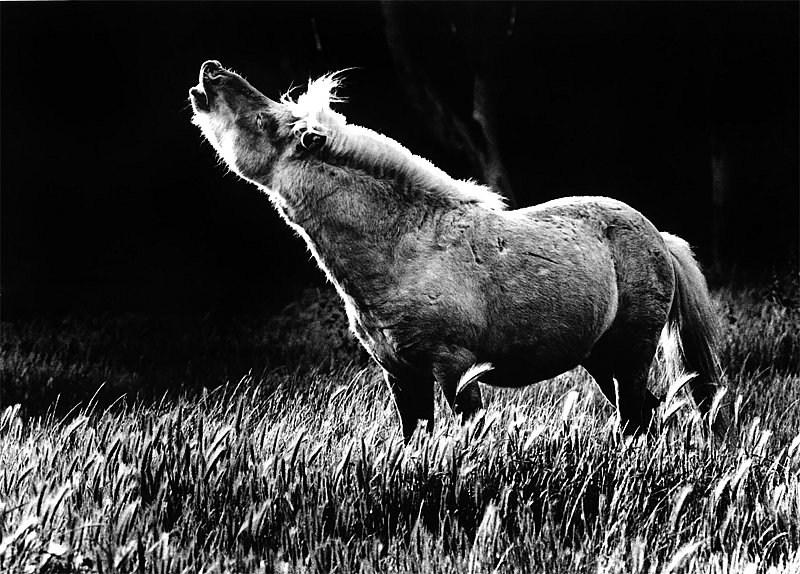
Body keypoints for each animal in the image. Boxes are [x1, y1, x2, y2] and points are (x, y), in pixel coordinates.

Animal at [189, 60, 724, 441]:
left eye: (266, 119)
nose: (210, 71)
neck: (404, 252)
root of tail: (658, 236)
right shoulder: (402, 375)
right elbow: (415, 439)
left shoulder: (455, 370)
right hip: (601, 359)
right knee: (643, 415)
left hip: (628, 356)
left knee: (642, 415)